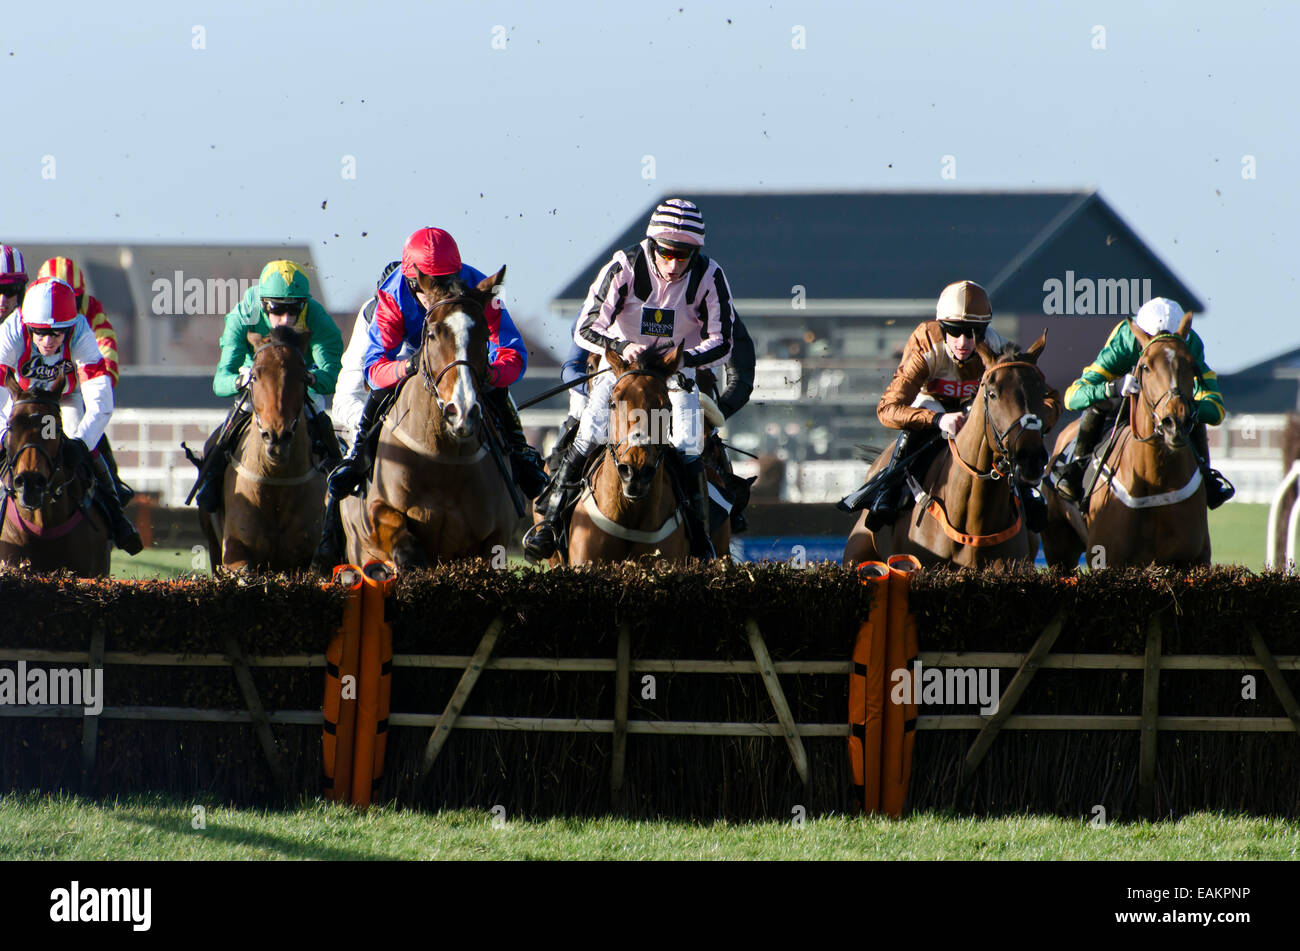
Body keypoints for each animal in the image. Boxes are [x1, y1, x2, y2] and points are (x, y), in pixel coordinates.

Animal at [340, 263, 517, 569]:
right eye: (433, 334)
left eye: (485, 336)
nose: (462, 411)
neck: (443, 458)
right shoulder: (378, 513)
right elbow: (403, 543)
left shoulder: (495, 539)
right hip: (357, 550)